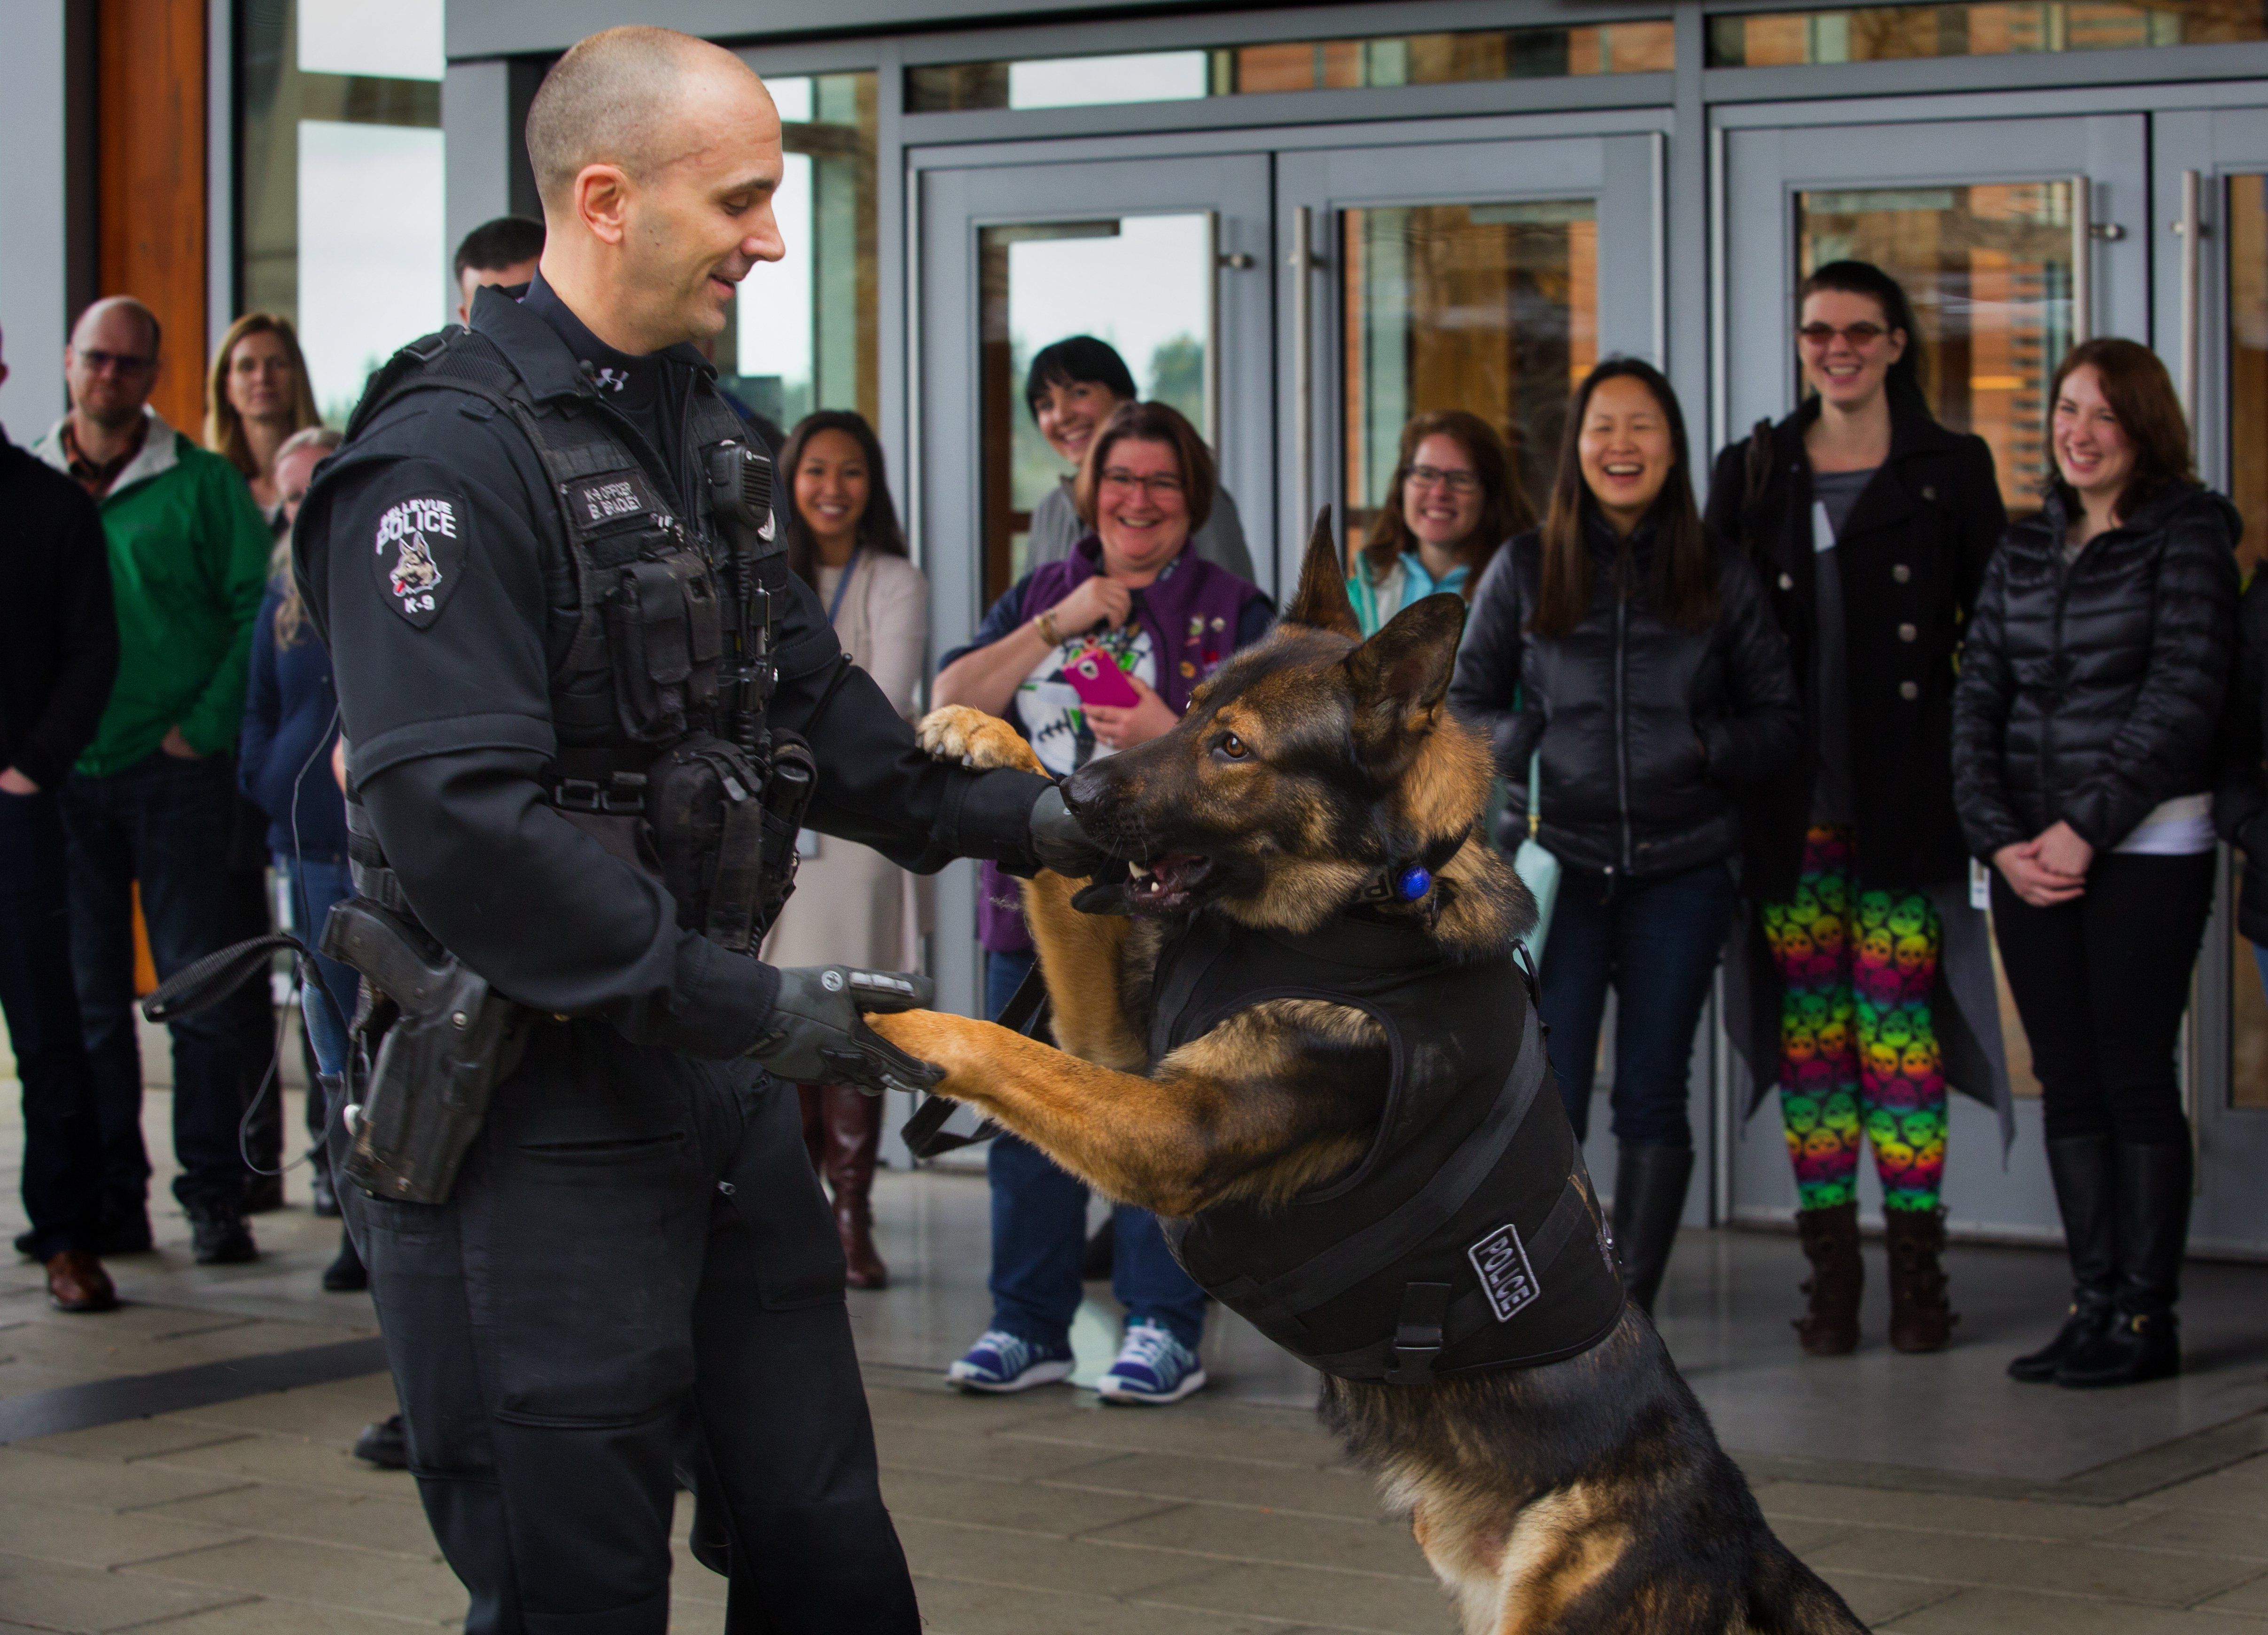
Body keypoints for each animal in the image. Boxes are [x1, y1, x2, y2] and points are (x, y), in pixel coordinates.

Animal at [866, 526, 1860, 1633]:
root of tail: (1742, 1525)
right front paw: (984, 732)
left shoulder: (1169, 1133)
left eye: (1233, 748)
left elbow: (1003, 1048)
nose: (1078, 801)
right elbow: (1053, 974)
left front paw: (881, 1013)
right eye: (1192, 709)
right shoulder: (1112, 1045)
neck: (1367, 898)